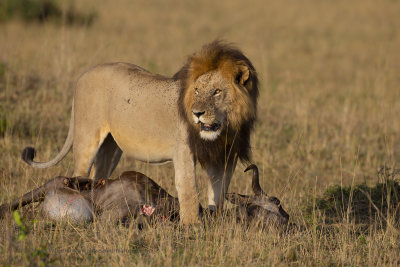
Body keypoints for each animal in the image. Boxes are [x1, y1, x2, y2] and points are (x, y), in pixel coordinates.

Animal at [21, 40, 260, 224]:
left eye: (217, 92)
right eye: (197, 90)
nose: (197, 113)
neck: (224, 128)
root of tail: (84, 74)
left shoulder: (225, 157)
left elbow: (218, 192)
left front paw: (215, 220)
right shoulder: (183, 151)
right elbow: (188, 191)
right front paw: (192, 227)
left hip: (111, 149)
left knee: (99, 175)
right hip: (87, 138)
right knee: (80, 170)